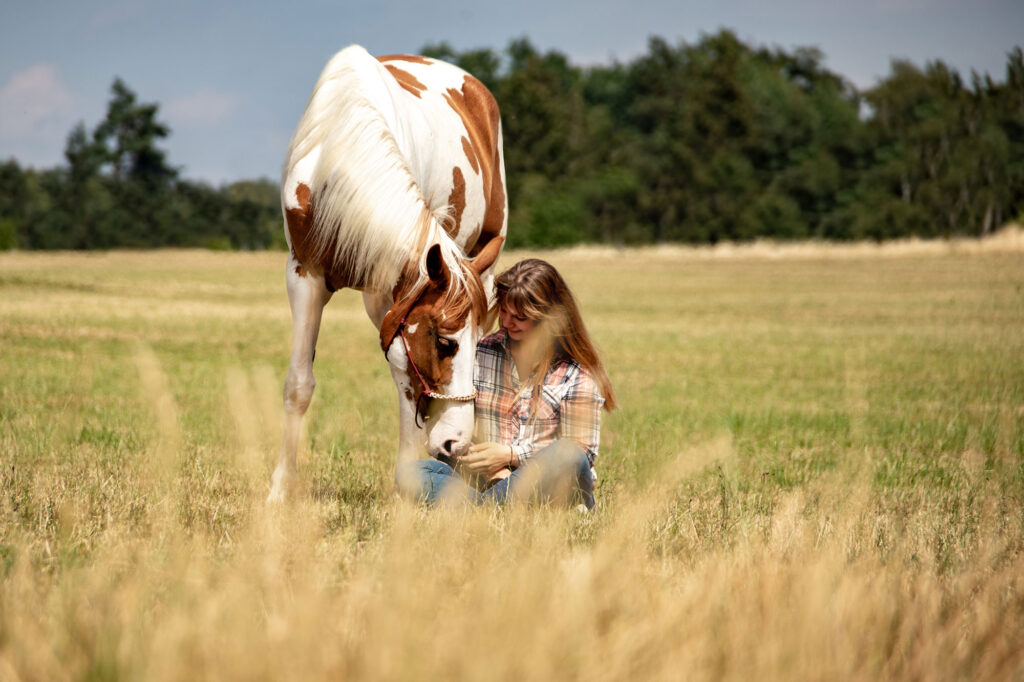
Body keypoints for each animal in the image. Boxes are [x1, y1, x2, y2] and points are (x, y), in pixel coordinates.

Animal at [268, 45, 507, 502]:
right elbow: (298, 385)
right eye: (445, 342)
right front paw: (279, 493)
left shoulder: (392, 295)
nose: (457, 442)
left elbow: (407, 391)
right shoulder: (304, 276)